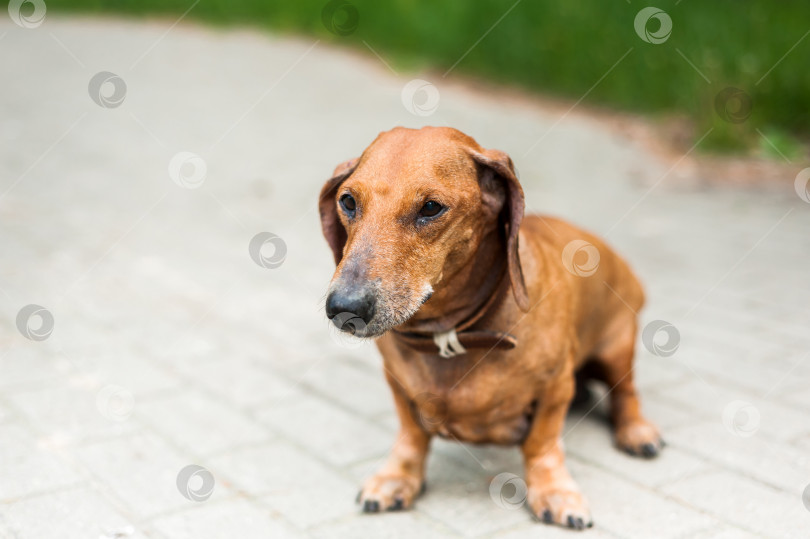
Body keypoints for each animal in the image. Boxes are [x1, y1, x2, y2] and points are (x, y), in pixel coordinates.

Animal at [318, 126, 660, 532]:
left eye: (430, 207)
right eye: (348, 201)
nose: (344, 309)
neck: (453, 336)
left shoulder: (555, 388)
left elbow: (542, 443)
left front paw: (555, 491)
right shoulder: (398, 383)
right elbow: (411, 435)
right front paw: (396, 477)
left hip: (616, 346)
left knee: (626, 392)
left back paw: (637, 432)